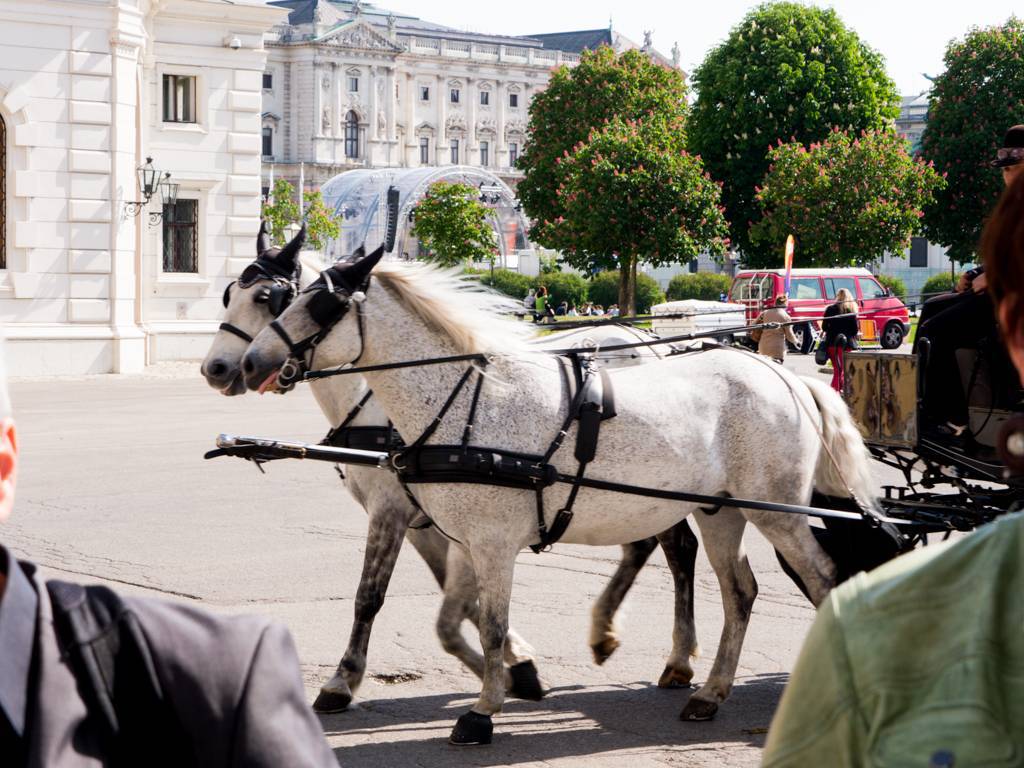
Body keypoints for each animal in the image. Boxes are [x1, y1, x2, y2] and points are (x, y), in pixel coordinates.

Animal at [202, 228, 704, 716]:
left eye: (266, 297)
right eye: (228, 294)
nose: (220, 368)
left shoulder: (390, 510)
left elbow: (370, 595)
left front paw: (342, 680)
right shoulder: (427, 519)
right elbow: (456, 598)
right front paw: (514, 666)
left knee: (678, 549)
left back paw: (676, 658)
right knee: (648, 545)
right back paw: (618, 637)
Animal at [237, 252, 872, 745]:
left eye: (315, 306)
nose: (241, 363)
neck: (464, 401)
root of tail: (785, 376)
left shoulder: (489, 542)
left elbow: (488, 624)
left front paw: (483, 710)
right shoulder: (464, 539)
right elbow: (457, 618)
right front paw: (515, 679)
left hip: (777, 514)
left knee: (821, 577)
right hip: (722, 511)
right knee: (738, 591)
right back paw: (708, 693)